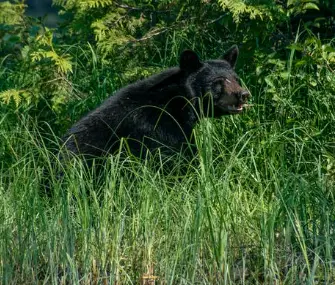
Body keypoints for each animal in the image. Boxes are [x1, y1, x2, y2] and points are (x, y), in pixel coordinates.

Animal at [63, 45, 249, 159]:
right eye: (219, 81)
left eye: (236, 79)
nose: (244, 94)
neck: (179, 101)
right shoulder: (159, 126)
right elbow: (178, 156)